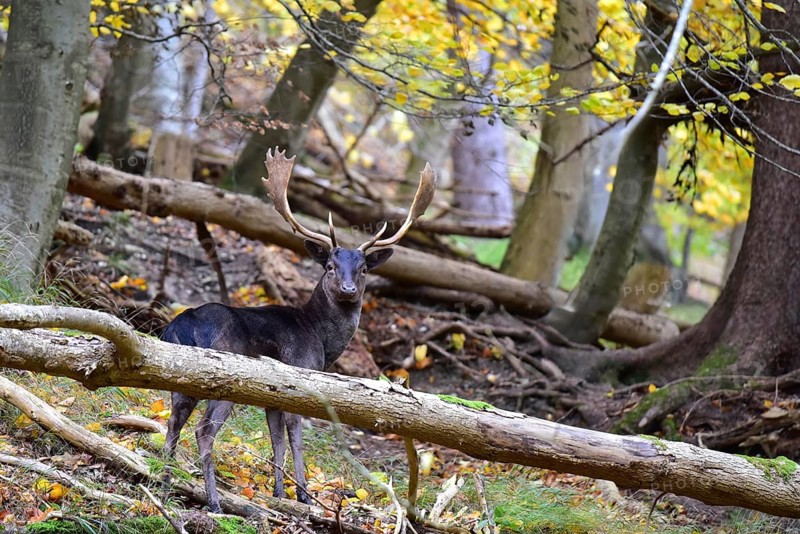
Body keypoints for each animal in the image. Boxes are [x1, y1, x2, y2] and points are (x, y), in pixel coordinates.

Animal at [161, 148, 437, 513]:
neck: (319, 338)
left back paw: (163, 483)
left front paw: (280, 494)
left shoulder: (272, 398)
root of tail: (182, 324)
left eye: (364, 269)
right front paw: (304, 495)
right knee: (203, 432)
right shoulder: (300, 377)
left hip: (179, 379)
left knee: (172, 424)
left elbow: (276, 440)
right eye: (330, 266)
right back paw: (215, 503)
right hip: (224, 378)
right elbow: (295, 438)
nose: (348, 289)